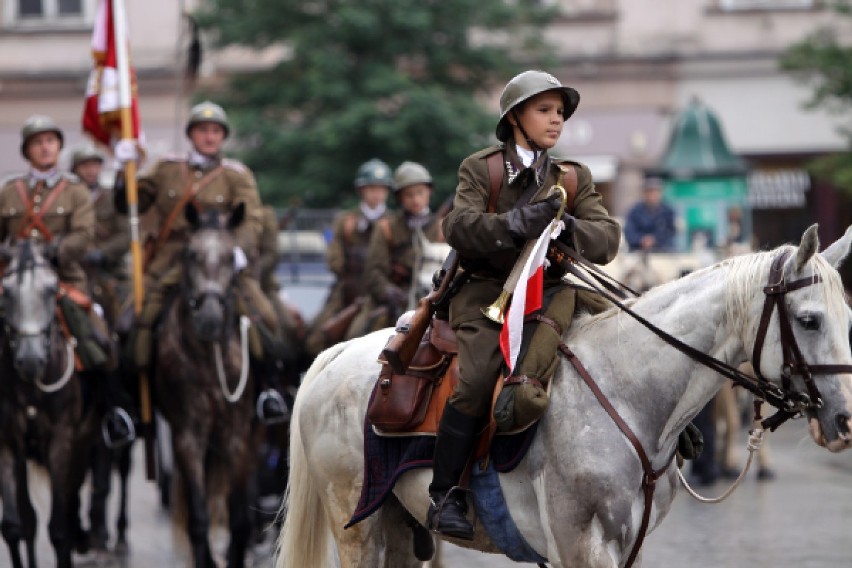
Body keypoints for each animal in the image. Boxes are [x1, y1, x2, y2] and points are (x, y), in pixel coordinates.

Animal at [0, 240, 99, 568]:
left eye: (52, 288)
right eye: (6, 291)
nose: (30, 361)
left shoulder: (62, 442)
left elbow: (58, 528)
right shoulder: (8, 444)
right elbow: (15, 527)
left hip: (83, 444)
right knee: (29, 520)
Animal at [153, 202, 260, 564]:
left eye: (231, 257)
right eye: (190, 254)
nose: (210, 319)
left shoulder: (238, 436)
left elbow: (240, 522)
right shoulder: (188, 437)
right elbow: (198, 521)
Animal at [276, 225, 852, 568]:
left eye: (847, 316)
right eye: (809, 319)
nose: (845, 421)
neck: (629, 391)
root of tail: (336, 354)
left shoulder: (629, 546)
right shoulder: (581, 547)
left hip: (397, 523)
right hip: (358, 525)